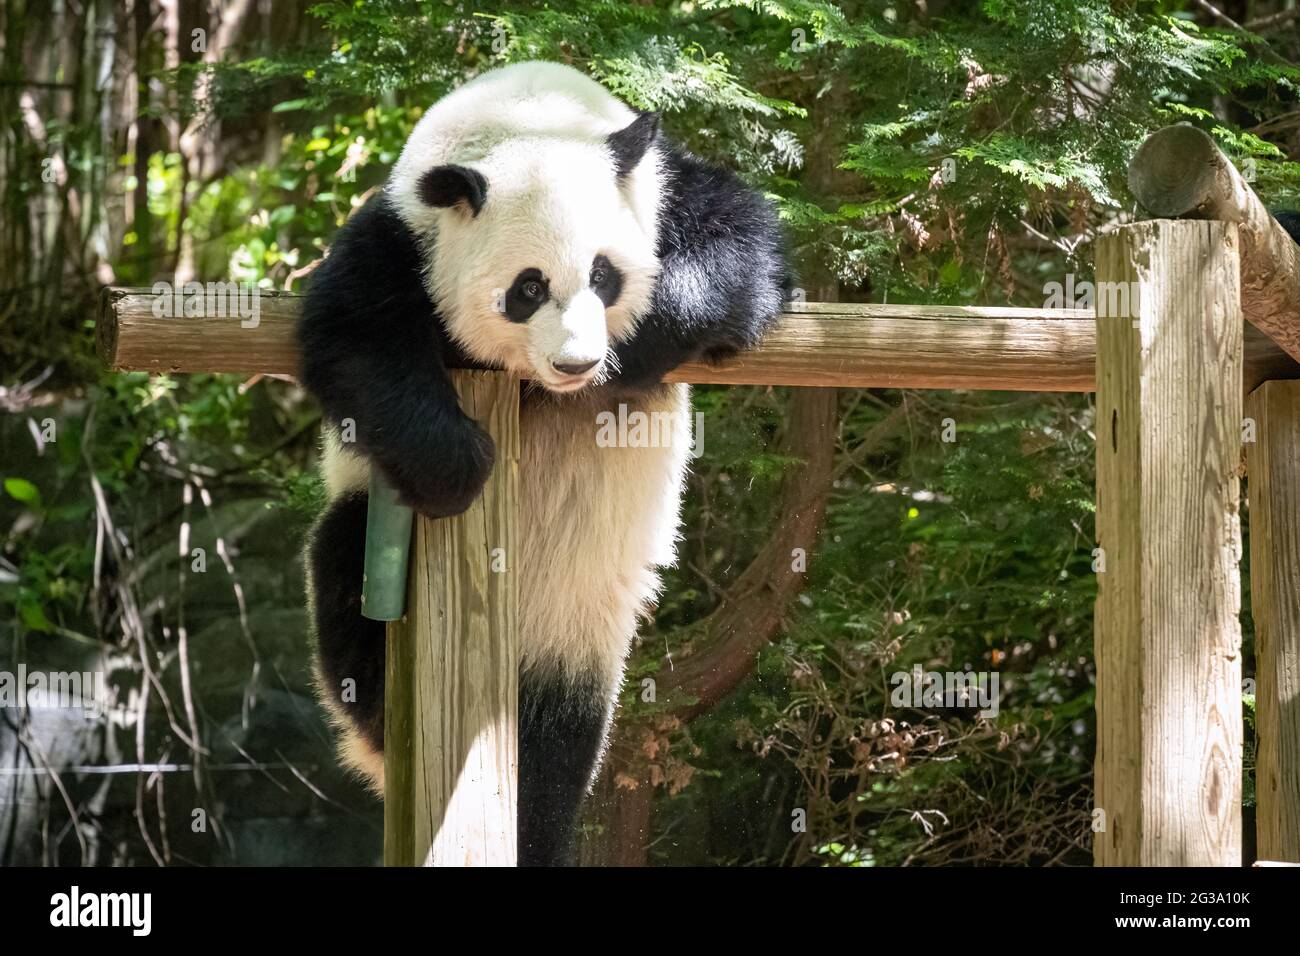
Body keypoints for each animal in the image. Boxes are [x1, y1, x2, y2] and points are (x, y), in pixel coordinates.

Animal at [298, 61, 788, 866]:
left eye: (603, 274)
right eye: (528, 288)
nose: (576, 363)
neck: (526, 114)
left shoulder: (663, 190)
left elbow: (744, 250)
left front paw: (642, 343)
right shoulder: (401, 236)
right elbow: (354, 338)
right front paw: (457, 463)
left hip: (577, 623)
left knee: (558, 743)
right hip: (370, 539)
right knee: (346, 578)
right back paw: (379, 724)